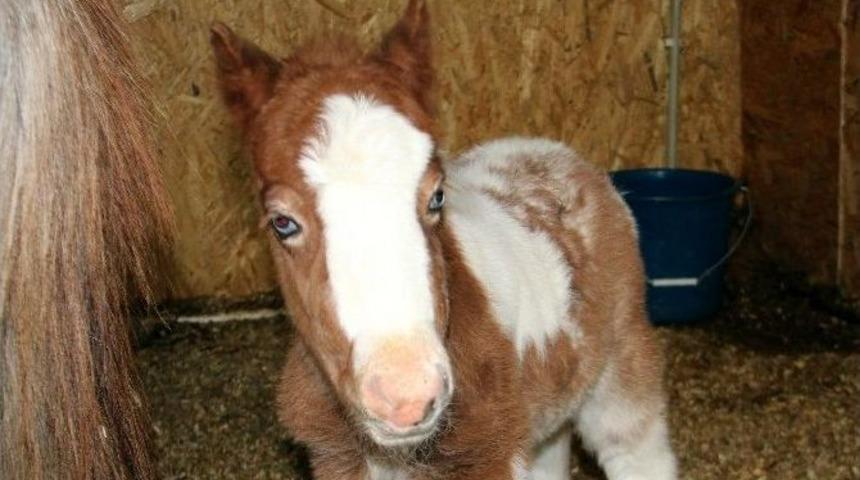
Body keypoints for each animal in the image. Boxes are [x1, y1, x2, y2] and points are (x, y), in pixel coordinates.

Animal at [211, 1, 676, 478]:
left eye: (437, 196)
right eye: (282, 223)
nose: (406, 394)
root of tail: (560, 155)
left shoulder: (493, 454)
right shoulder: (337, 458)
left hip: (621, 375)